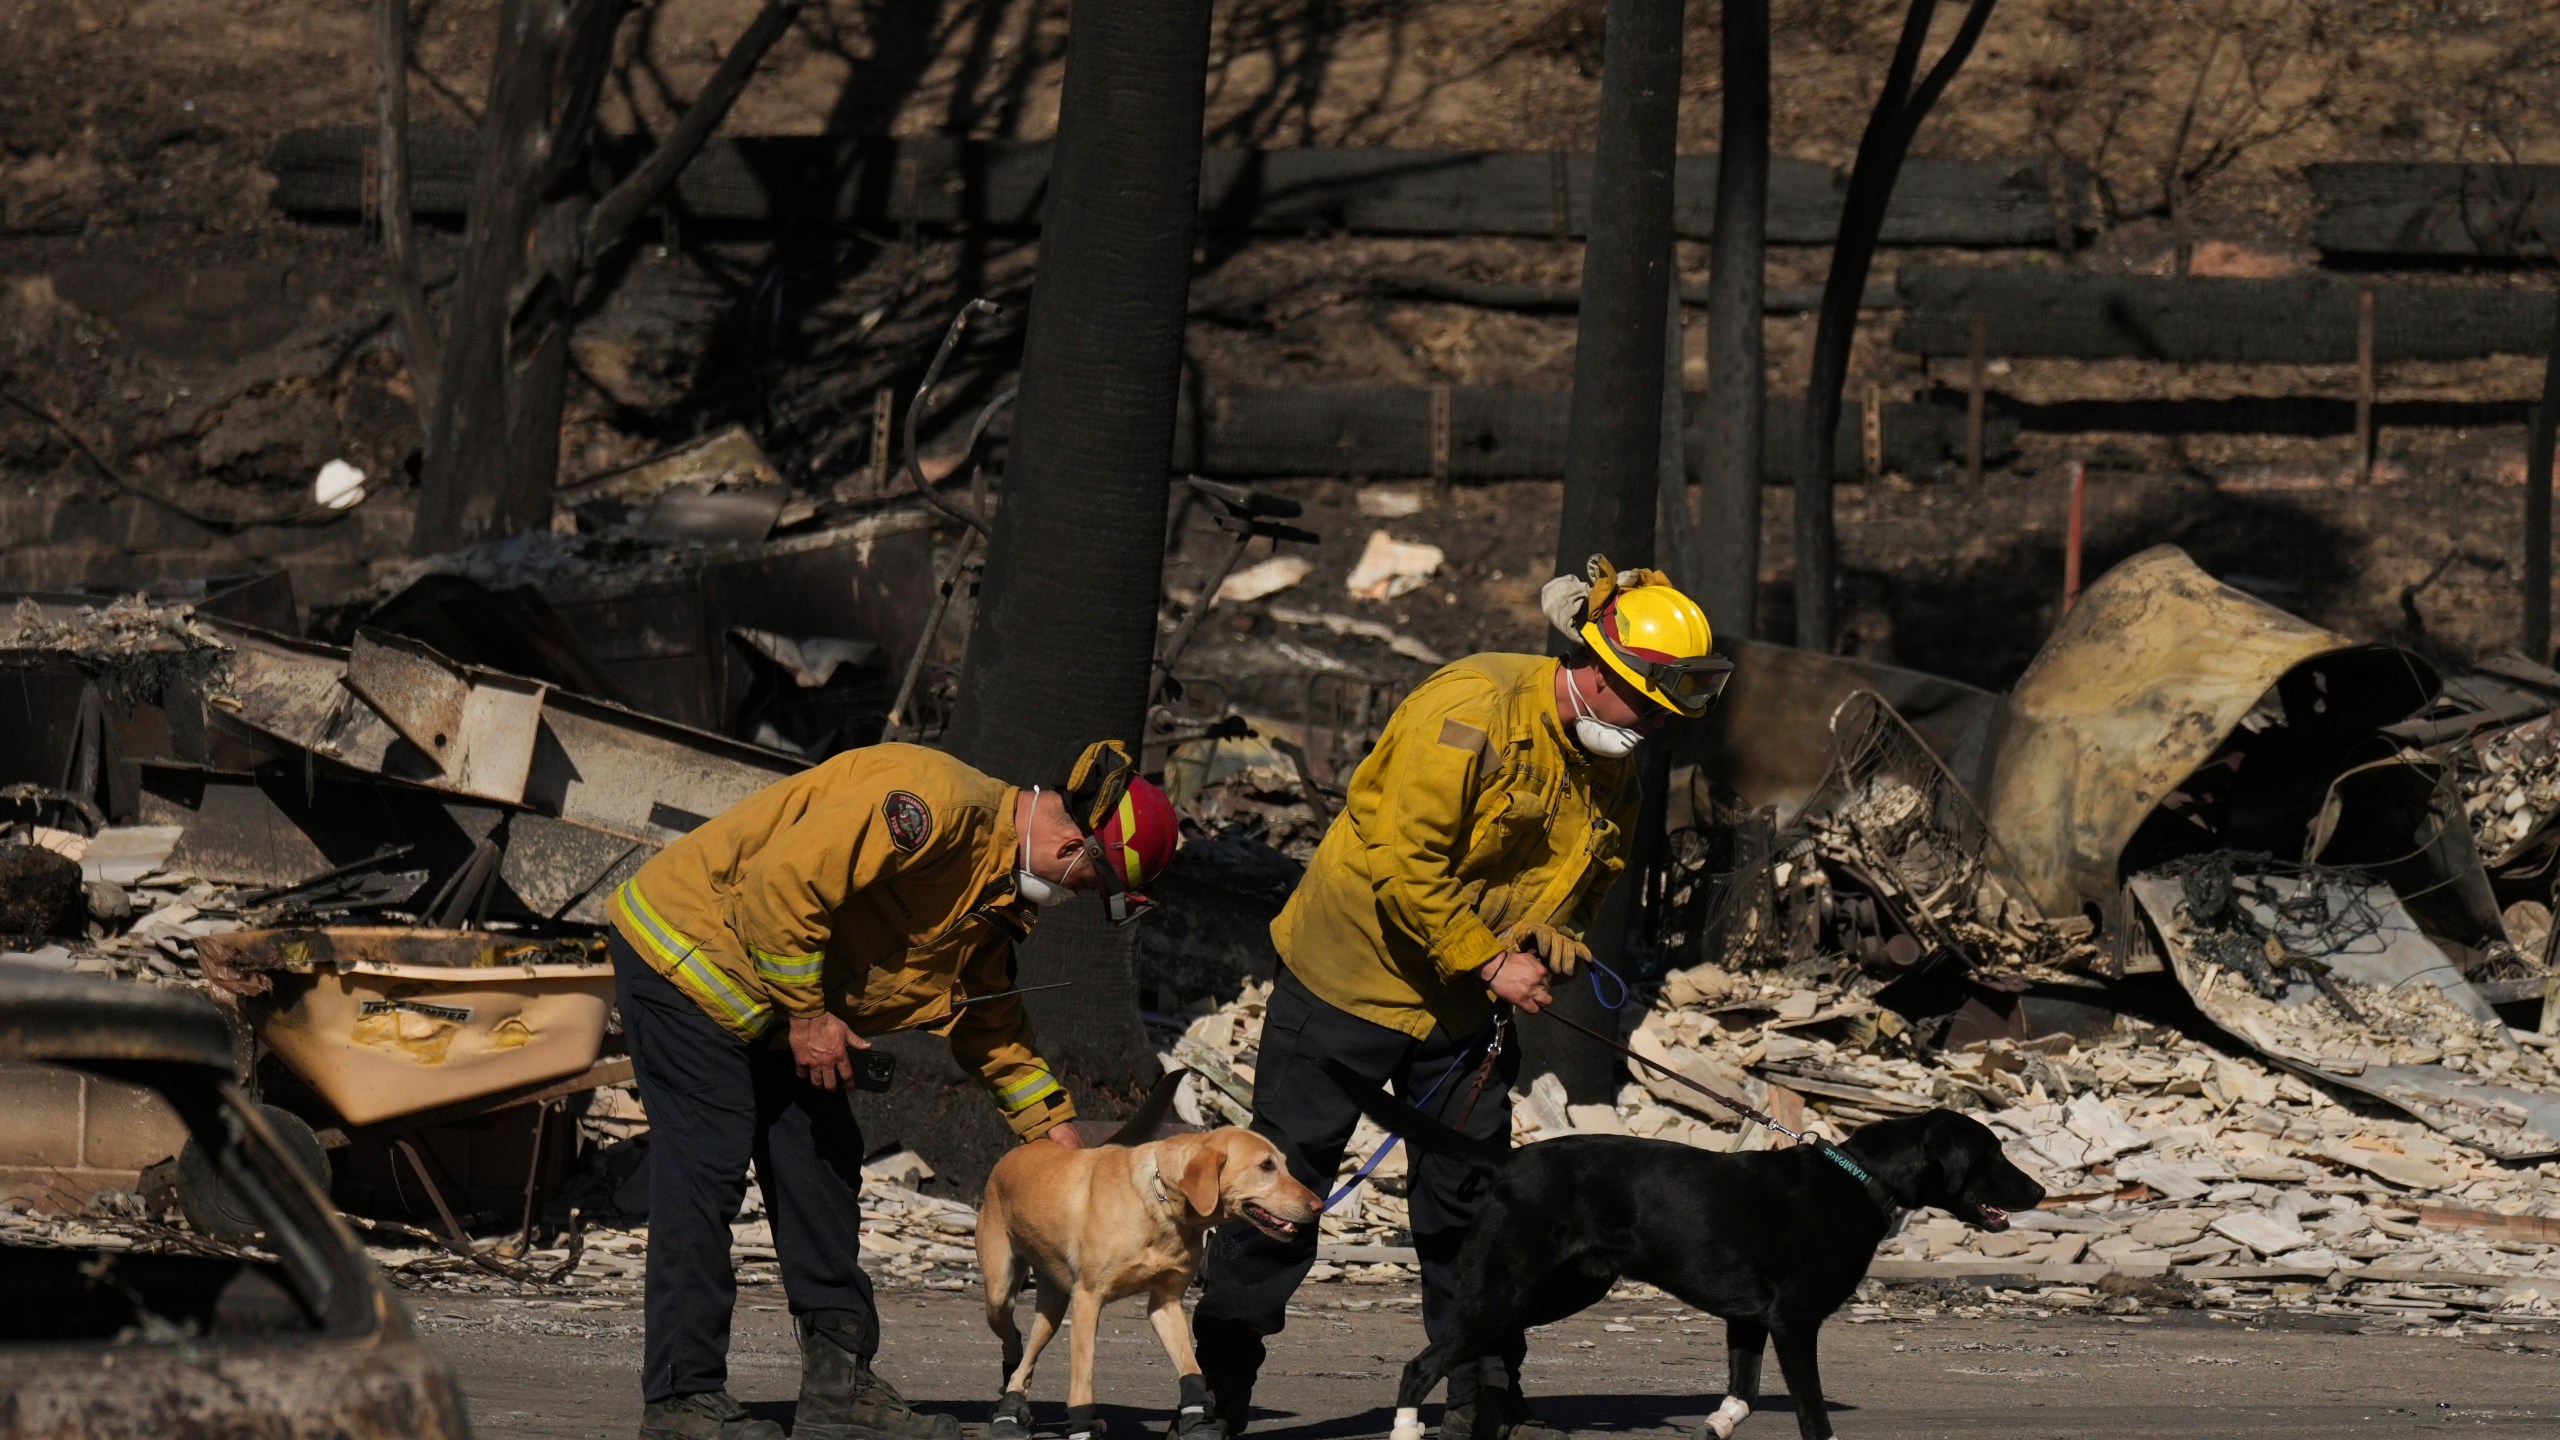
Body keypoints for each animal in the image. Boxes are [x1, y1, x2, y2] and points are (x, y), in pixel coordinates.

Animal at [977, 1101, 1320, 1424]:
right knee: (1014, 1342)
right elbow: (1083, 1377)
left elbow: (1191, 1367)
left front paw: (1197, 1414)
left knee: (1028, 1355)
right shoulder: (1088, 1298)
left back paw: (1014, 1394)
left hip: (1053, 1303)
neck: (1159, 1206)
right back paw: (1009, 1390)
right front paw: (1083, 1422)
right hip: (1000, 1295)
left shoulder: (1165, 1303)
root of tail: (1015, 1152)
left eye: (1285, 1165)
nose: (1318, 1206)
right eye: (1266, 1165)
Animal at [1341, 1055, 2037, 1434]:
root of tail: (1510, 1161)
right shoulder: (1794, 1323)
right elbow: (1813, 1416)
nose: (2040, 1189)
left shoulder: (1747, 1322)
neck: (1859, 1180)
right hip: (1506, 1291)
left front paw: (1715, 1425)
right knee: (1420, 1366)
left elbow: (1744, 1397)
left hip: (1554, 1292)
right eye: (1991, 1154)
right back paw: (1408, 1430)